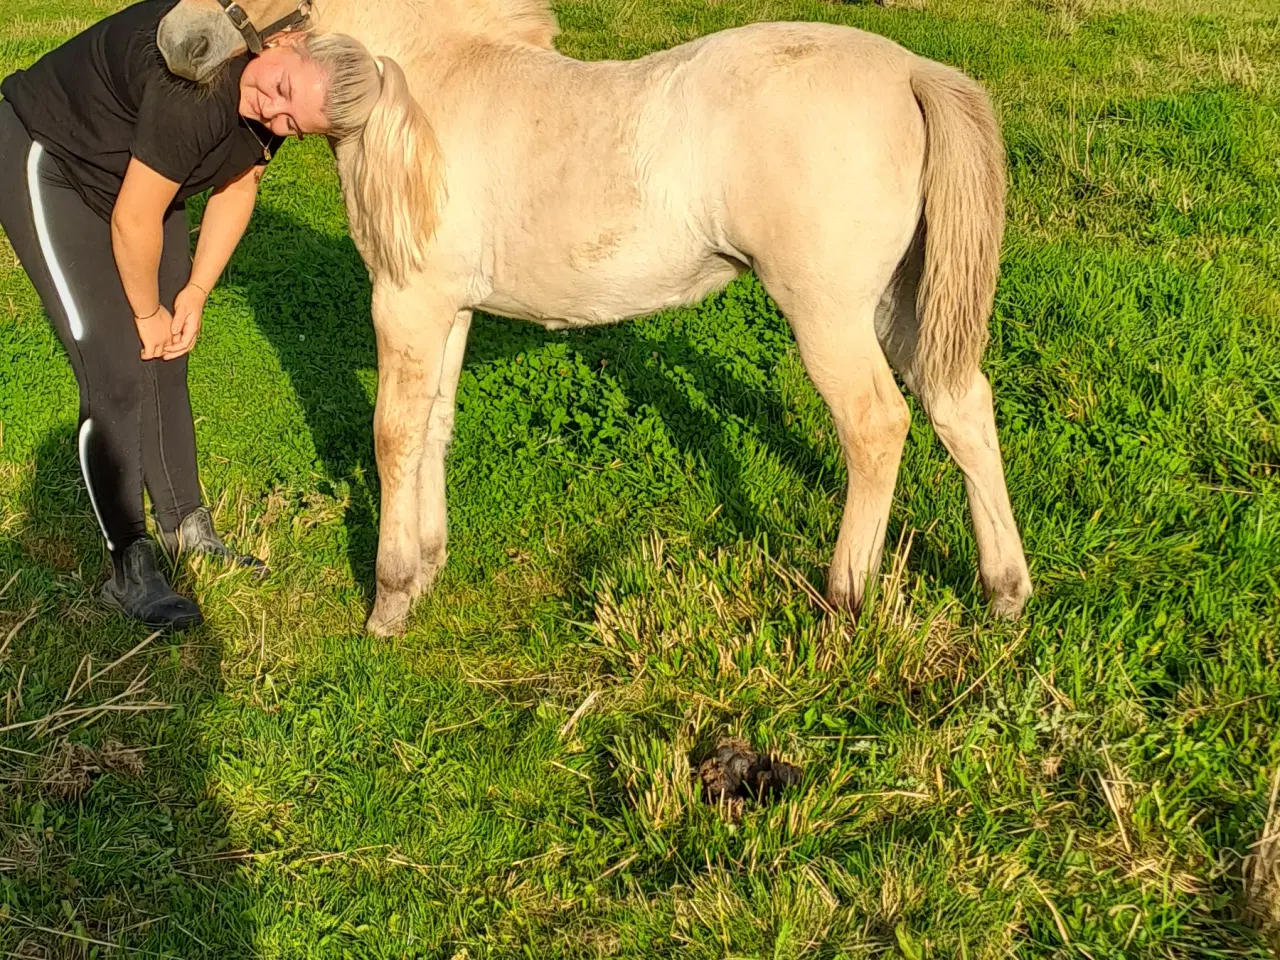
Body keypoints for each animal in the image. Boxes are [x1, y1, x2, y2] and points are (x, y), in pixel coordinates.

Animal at [154, 0, 1034, 634]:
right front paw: (432, 568)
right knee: (962, 407)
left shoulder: (405, 302)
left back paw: (844, 598)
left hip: (828, 316)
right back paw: (1005, 592)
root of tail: (912, 69)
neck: (431, 85)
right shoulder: (450, 309)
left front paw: (391, 600)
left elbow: (393, 436)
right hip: (898, 304)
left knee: (878, 425)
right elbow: (436, 425)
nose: (175, 40)